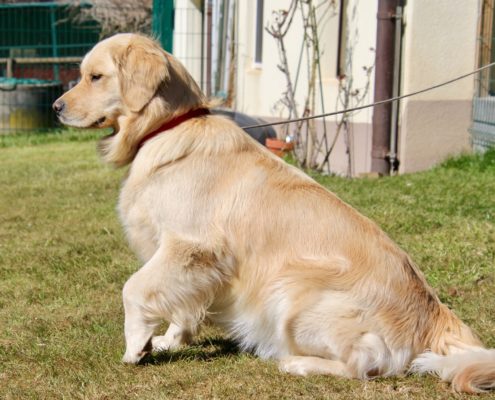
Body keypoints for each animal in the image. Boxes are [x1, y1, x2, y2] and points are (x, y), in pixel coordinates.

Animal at [52, 32, 494, 392]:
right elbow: (185, 306)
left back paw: (298, 363)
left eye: (95, 77)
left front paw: (135, 345)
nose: (56, 107)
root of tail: (434, 314)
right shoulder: (200, 264)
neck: (169, 128)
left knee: (365, 365)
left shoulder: (189, 246)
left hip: (292, 292)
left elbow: (133, 288)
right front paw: (167, 340)